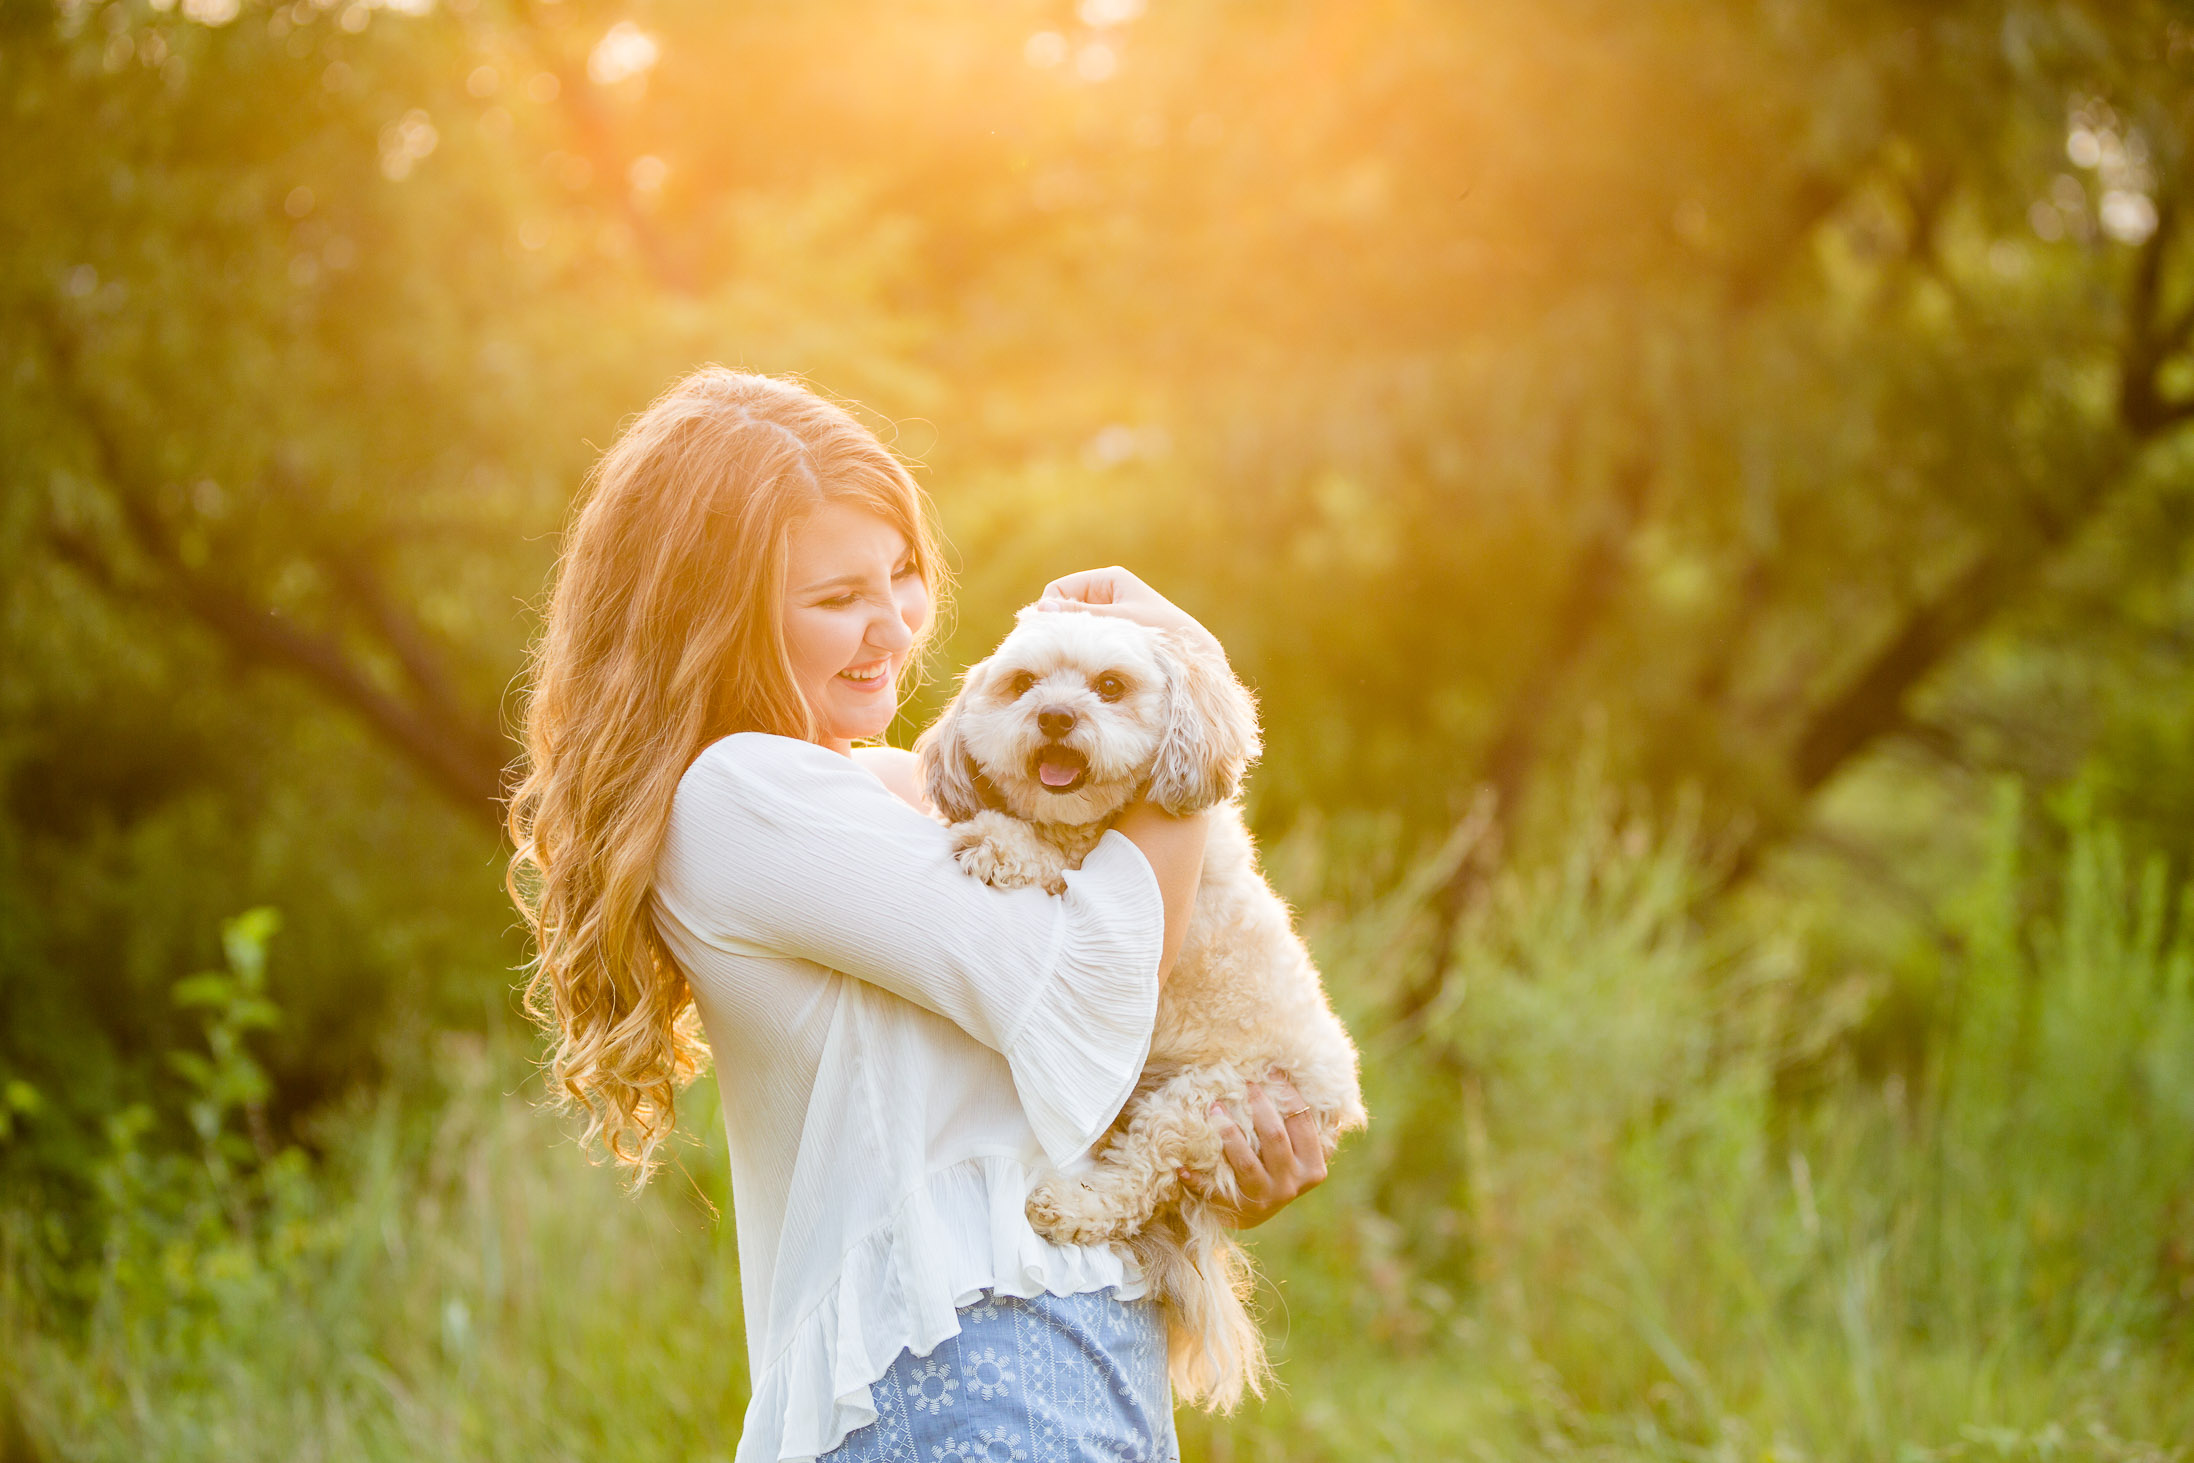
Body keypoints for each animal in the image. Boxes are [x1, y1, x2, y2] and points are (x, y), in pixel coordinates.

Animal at [917, 605, 1360, 1403]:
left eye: (1111, 687)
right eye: (1023, 684)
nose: (1056, 716)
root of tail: (1338, 1104)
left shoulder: (1108, 892)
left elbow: (1055, 859)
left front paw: (998, 842)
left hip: (1210, 1101)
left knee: (1139, 1178)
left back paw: (1070, 1207)